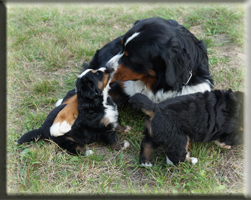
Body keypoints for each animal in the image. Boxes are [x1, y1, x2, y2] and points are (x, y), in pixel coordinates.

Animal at [50, 16, 213, 136]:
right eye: (122, 48)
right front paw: (61, 121)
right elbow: (81, 97)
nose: (107, 68)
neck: (155, 85)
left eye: (131, 58)